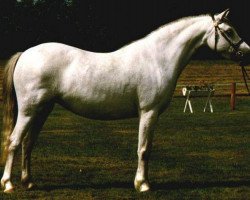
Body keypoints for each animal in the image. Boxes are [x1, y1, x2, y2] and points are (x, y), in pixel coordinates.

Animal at [0, 9, 250, 192]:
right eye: (229, 30)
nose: (246, 51)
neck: (157, 59)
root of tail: (25, 54)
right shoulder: (148, 112)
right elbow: (144, 149)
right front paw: (143, 185)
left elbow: (146, 148)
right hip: (29, 110)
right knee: (14, 141)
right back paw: (9, 184)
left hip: (43, 109)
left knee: (28, 143)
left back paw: (28, 182)